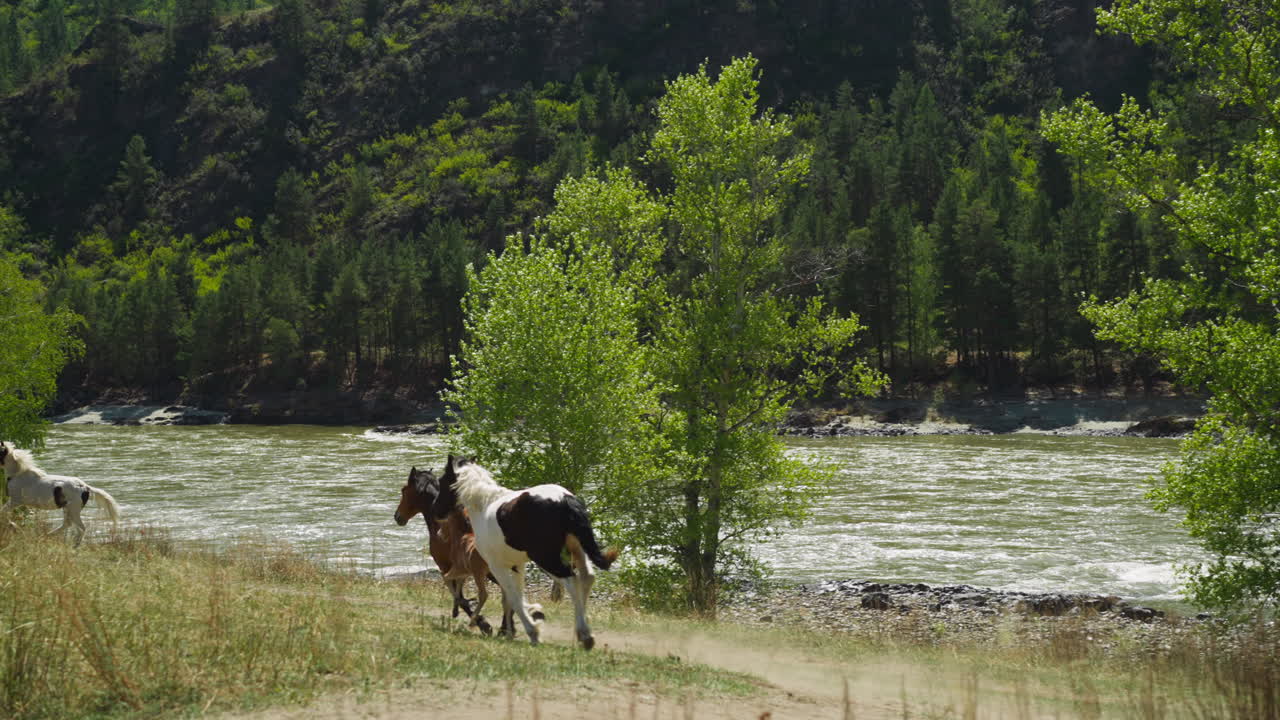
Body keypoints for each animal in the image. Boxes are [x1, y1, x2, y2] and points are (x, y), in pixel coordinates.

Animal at [394, 466, 495, 635]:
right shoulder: (461, 569)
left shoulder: (445, 566)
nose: (397, 516)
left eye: (404, 490)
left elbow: (459, 595)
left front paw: (482, 622)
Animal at [430, 454, 618, 650]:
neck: (484, 504)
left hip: (546, 557)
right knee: (587, 577)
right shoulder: (517, 565)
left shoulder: (497, 566)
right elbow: (514, 597)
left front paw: (532, 631)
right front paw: (514, 629)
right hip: (576, 549)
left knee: (571, 580)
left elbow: (513, 597)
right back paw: (582, 634)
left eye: (442, 481)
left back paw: (584, 635)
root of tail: (564, 500)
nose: (436, 510)